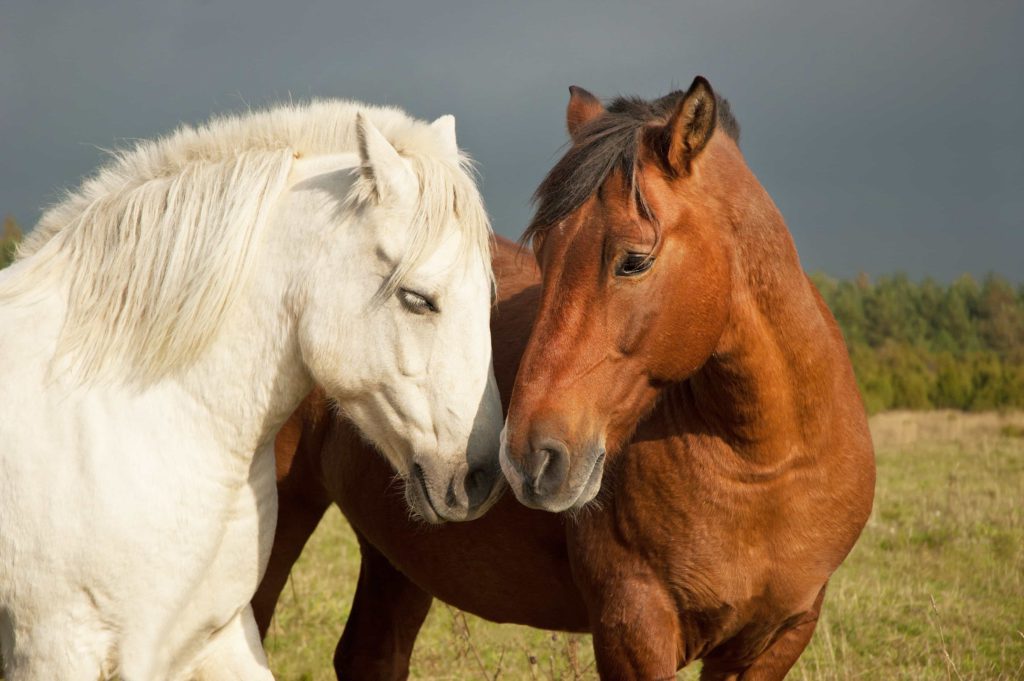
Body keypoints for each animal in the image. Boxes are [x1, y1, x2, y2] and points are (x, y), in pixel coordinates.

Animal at [253, 76, 872, 675]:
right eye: (545, 255)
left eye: (634, 260)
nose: (529, 458)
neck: (765, 465)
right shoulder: (633, 628)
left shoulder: (776, 638)